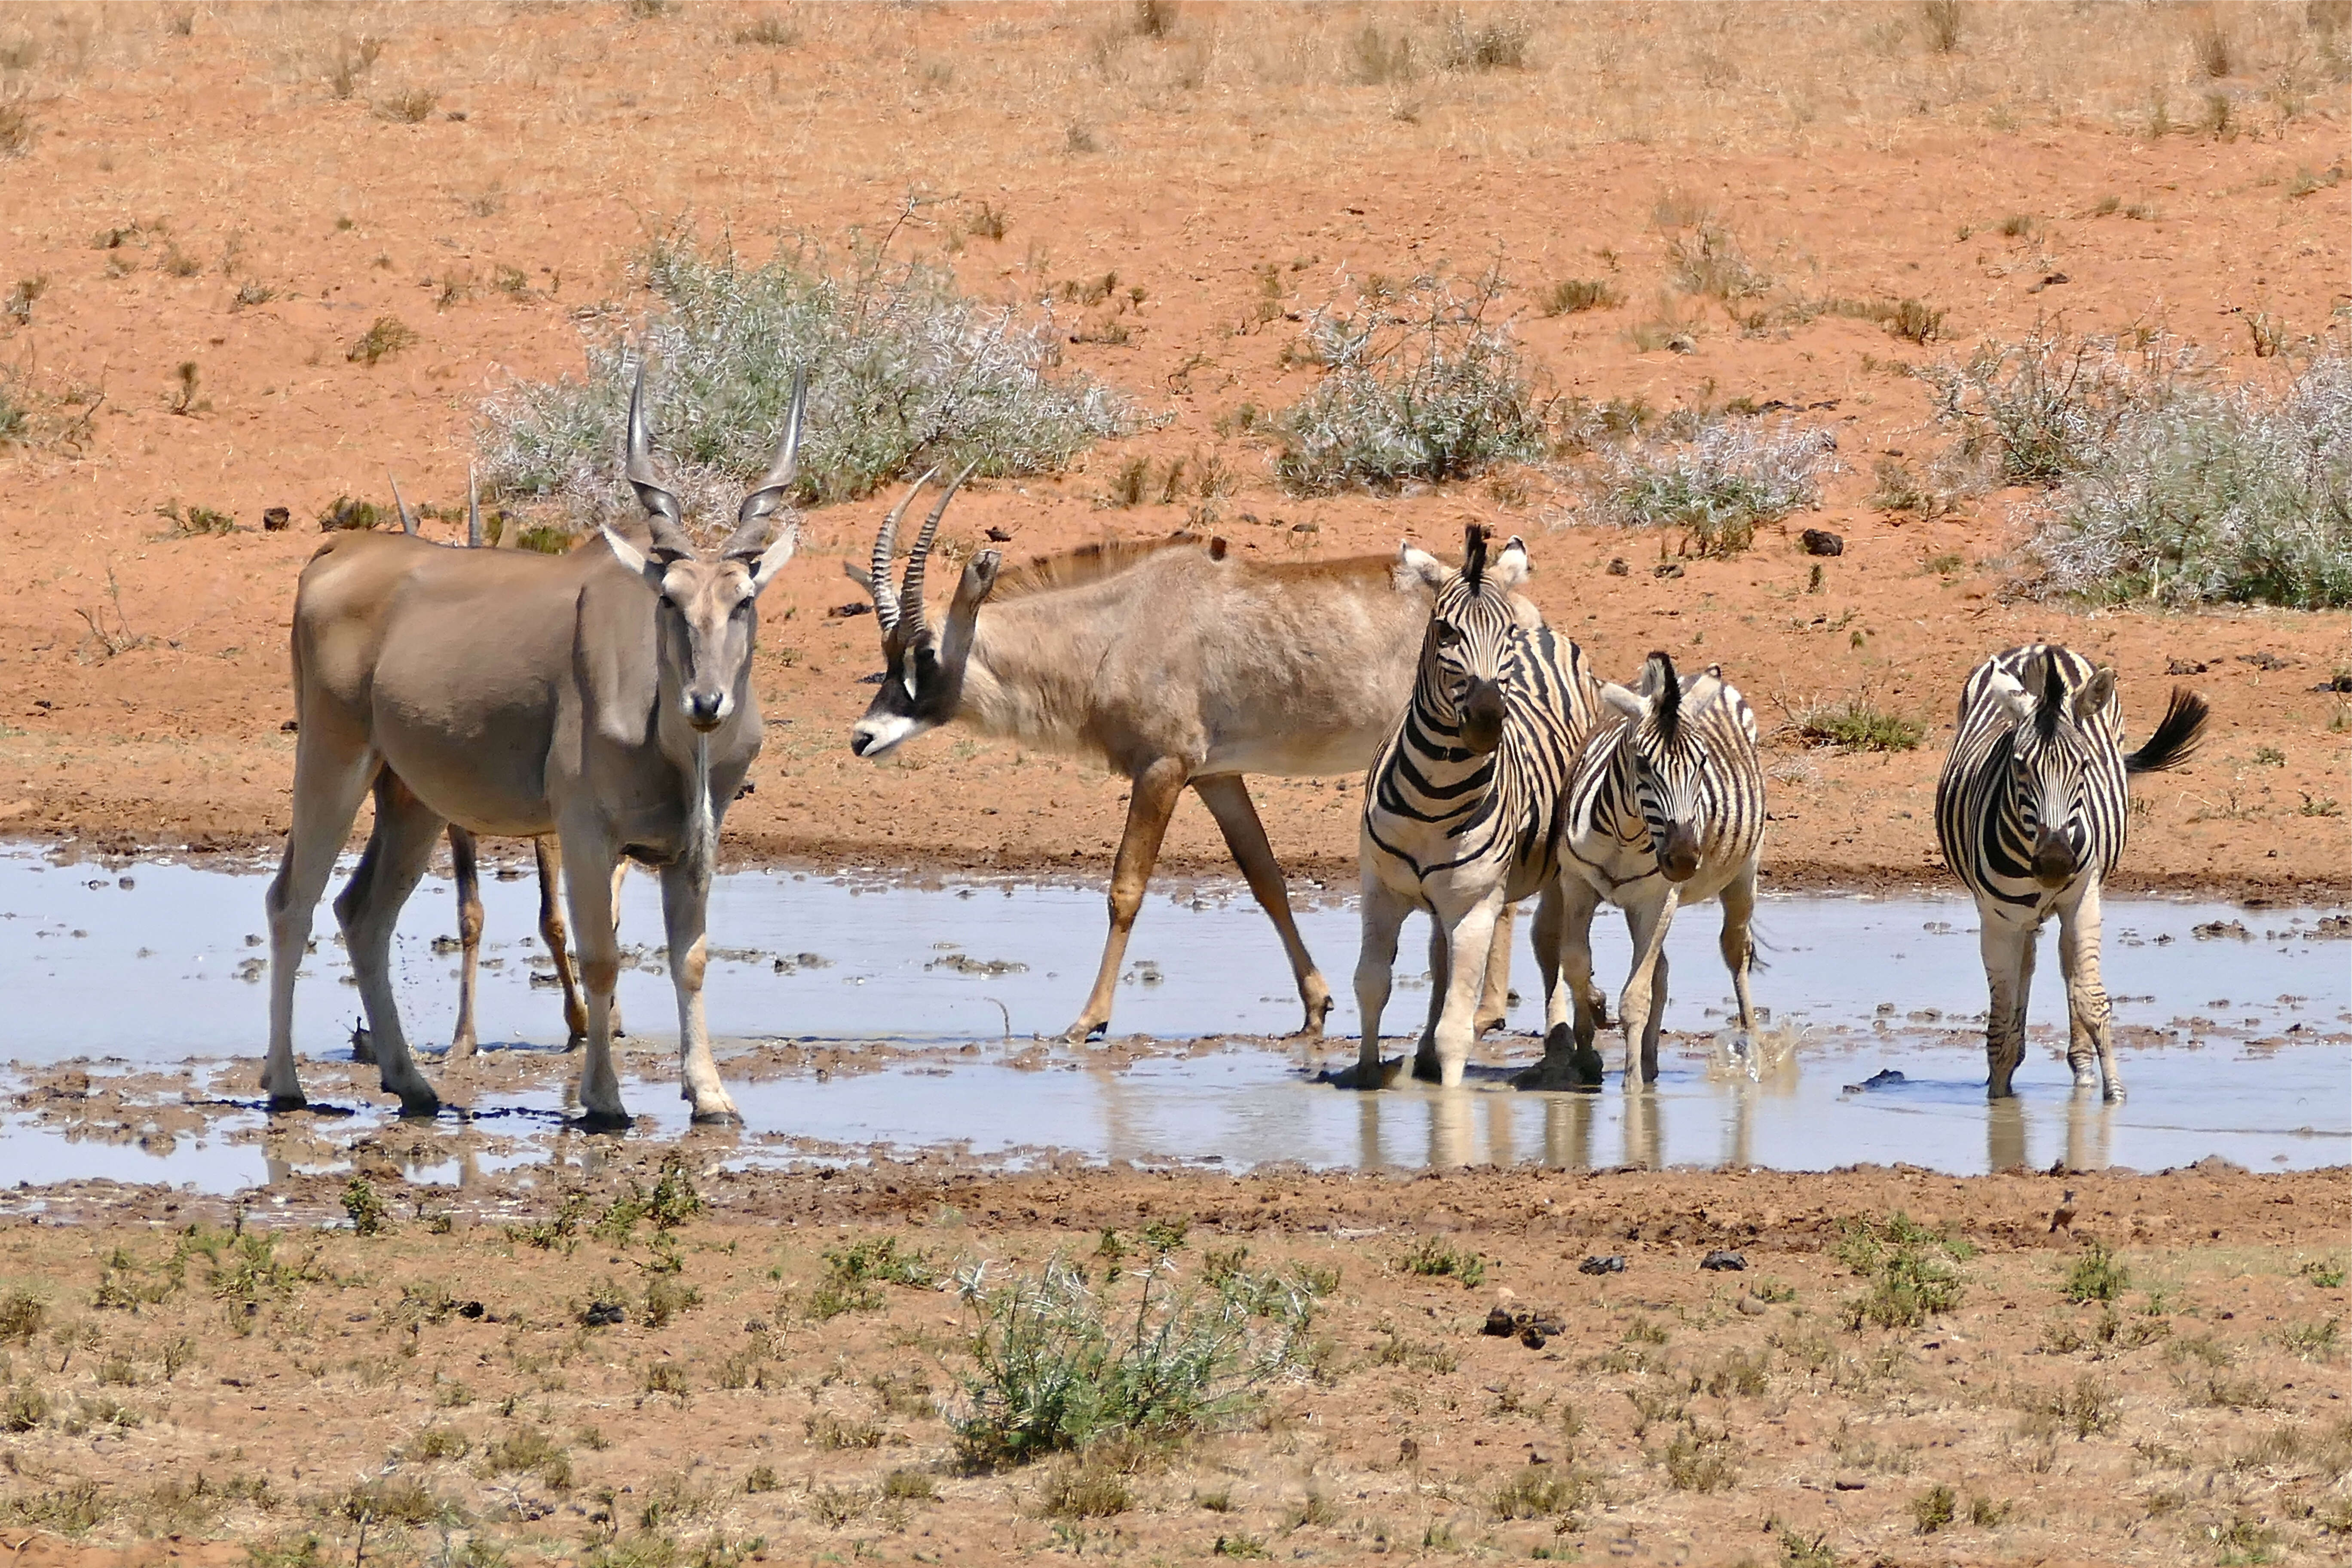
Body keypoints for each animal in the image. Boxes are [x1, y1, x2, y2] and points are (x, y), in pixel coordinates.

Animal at [268, 369, 809, 1128]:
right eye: (669, 599)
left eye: (745, 600)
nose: (707, 703)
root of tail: (336, 553)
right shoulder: (583, 830)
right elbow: (602, 955)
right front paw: (604, 1097)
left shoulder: (695, 842)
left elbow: (692, 957)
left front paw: (709, 1094)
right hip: (332, 757)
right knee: (293, 901)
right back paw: (285, 1085)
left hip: (411, 797)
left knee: (361, 913)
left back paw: (413, 1084)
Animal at [846, 479, 1524, 1044]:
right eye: (887, 651)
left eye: (926, 652)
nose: (863, 738)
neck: (1120, 626)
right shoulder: (1216, 776)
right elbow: (1266, 879)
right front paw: (1314, 1007)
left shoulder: (1162, 769)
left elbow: (1126, 889)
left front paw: (1088, 1020)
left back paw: (1486, 1014)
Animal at [1345, 527, 1599, 1090]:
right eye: (1444, 631)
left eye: (1503, 634)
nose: (1486, 720)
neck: (1433, 796)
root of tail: (1542, 631)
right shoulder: (1380, 890)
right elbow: (1371, 983)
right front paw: (1368, 1075)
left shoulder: (1477, 903)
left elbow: (1456, 1027)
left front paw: (1450, 1095)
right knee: (1442, 958)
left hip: (1557, 870)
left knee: (1552, 943)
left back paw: (1567, 1049)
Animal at [1524, 649, 1768, 1090]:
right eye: (1641, 763)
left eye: (1702, 762)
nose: (1684, 858)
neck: (1625, 835)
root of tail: (1687, 677)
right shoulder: (1578, 884)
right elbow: (1576, 965)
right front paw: (1589, 1039)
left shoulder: (1658, 897)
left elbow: (1635, 996)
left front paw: (1633, 1086)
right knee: (1663, 969)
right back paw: (1651, 1059)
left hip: (1743, 872)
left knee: (1735, 950)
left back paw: (1752, 1044)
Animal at [1929, 639, 2201, 1105]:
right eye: (2019, 765)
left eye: (2085, 766)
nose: (2056, 861)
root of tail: (2041, 647)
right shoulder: (1997, 919)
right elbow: (2000, 1020)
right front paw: (1999, 1099)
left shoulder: (2082, 899)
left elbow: (2091, 1000)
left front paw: (2114, 1095)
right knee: (2029, 966)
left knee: (2068, 968)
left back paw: (2082, 1067)